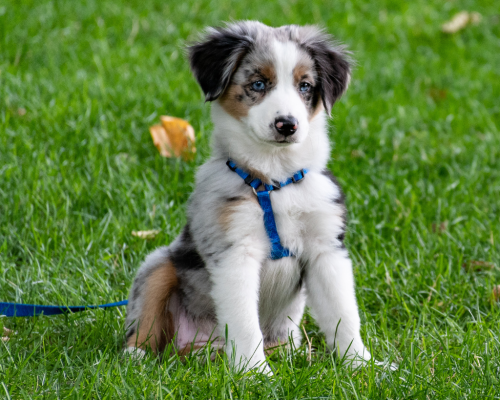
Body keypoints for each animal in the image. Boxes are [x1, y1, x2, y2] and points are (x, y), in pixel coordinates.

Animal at [125, 21, 372, 372]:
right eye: (258, 83)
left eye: (305, 86)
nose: (287, 125)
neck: (275, 180)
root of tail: (199, 348)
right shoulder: (234, 253)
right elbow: (243, 322)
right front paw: (255, 373)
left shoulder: (326, 249)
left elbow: (344, 315)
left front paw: (364, 366)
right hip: (159, 264)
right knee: (145, 319)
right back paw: (137, 357)